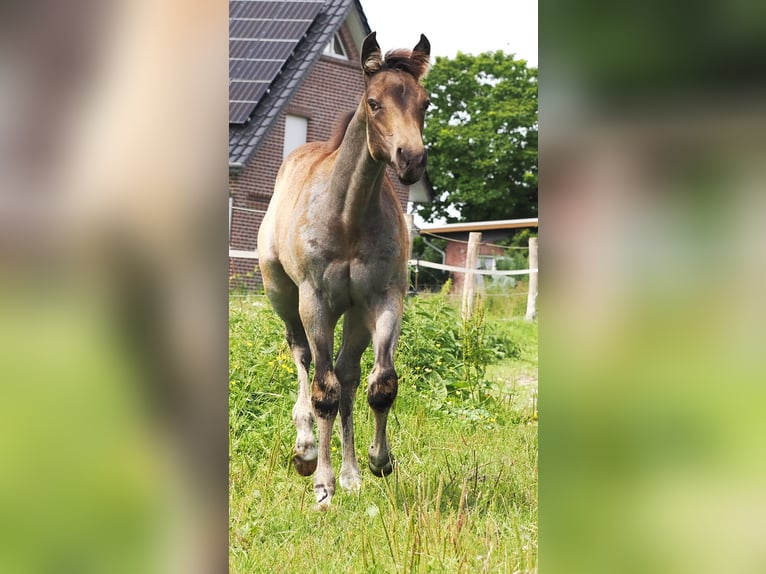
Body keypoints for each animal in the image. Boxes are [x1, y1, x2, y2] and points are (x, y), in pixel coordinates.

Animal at [257, 32, 430, 508]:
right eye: (374, 102)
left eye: (425, 102)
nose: (411, 159)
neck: (348, 216)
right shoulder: (314, 301)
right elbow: (324, 392)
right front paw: (322, 484)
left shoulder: (385, 299)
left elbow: (379, 384)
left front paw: (377, 462)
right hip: (283, 296)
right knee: (303, 357)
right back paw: (305, 449)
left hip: (353, 314)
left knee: (349, 374)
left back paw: (352, 473)